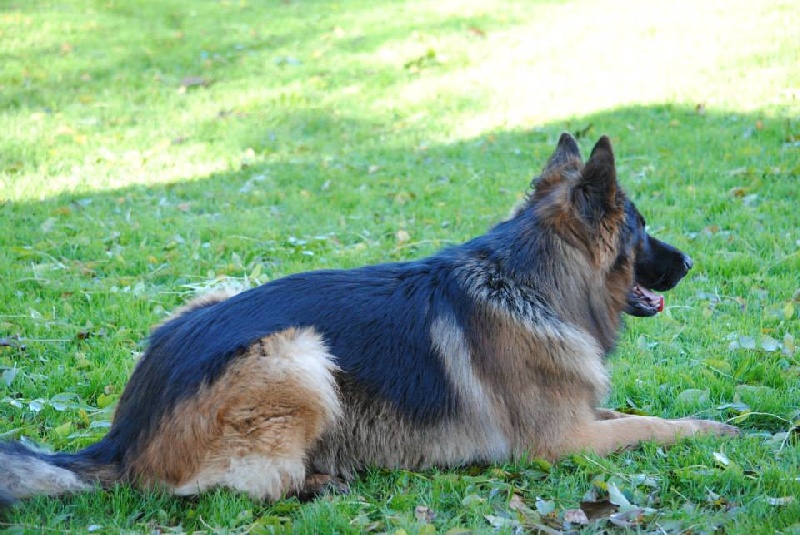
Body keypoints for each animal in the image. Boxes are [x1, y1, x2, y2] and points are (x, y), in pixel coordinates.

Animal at [0, 133, 736, 506]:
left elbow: (635, 413)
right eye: (644, 230)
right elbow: (651, 426)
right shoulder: (563, 441)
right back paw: (321, 478)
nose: (691, 260)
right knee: (227, 488)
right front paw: (717, 431)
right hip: (297, 355)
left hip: (208, 299)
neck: (531, 281)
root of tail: (119, 438)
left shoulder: (583, 415)